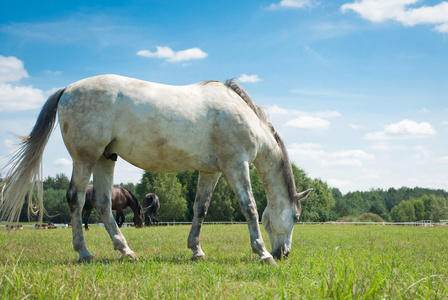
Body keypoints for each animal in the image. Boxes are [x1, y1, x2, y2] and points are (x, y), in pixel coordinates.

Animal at [1, 74, 312, 264]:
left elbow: (201, 209)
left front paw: (196, 250)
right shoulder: (236, 164)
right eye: (296, 217)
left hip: (105, 159)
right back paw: (84, 253)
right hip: (85, 158)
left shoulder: (211, 171)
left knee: (103, 204)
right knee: (75, 200)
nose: (284, 253)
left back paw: (125, 251)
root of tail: (67, 89)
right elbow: (249, 207)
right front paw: (262, 253)